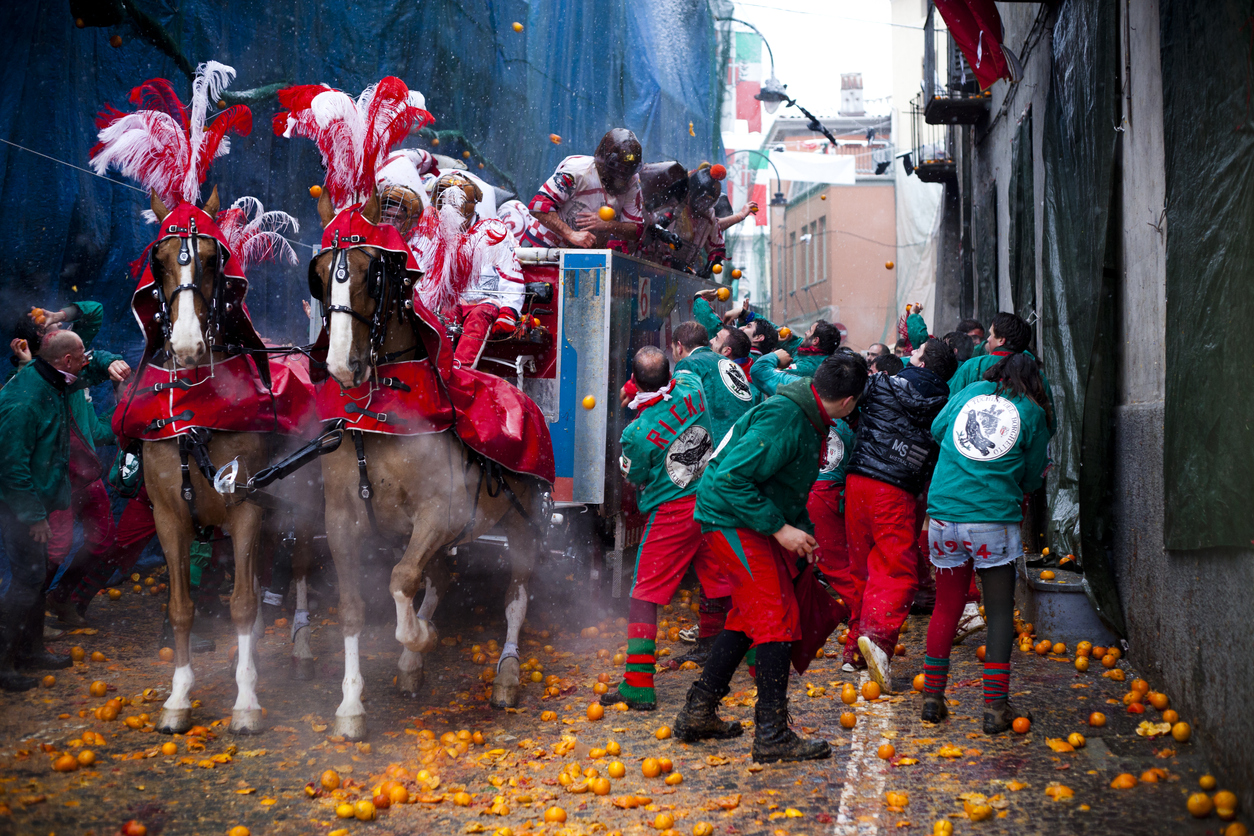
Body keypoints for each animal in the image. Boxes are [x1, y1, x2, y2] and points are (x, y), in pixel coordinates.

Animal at [142, 188, 321, 731]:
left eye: (211, 259)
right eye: (159, 261)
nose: (186, 344)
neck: (198, 411)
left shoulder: (245, 508)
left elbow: (240, 604)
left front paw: (245, 702)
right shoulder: (169, 517)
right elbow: (181, 607)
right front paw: (179, 698)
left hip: (301, 504)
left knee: (298, 566)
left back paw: (299, 648)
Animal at [308, 189, 544, 736]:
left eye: (372, 272)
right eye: (321, 271)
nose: (340, 364)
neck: (382, 418)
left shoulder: (438, 513)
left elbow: (401, 580)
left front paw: (420, 637)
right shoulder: (341, 519)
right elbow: (354, 605)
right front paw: (351, 705)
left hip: (521, 525)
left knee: (516, 597)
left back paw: (506, 672)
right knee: (440, 578)